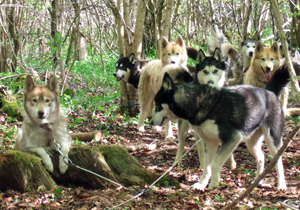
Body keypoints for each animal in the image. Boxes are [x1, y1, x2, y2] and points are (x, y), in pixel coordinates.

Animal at [152, 61, 288, 190]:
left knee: (278, 161)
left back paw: (281, 185)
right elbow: (207, 168)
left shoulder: (232, 138)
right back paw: (257, 181)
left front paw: (214, 183)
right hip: (251, 143)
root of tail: (270, 92)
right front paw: (201, 184)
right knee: (261, 157)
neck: (198, 102)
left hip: (272, 140)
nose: (151, 122)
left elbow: (215, 163)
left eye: (157, 105)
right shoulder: (211, 143)